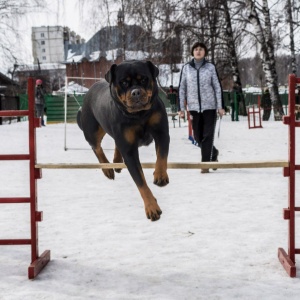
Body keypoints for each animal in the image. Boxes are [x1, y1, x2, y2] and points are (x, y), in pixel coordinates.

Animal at [77, 60, 169, 220]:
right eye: (124, 83)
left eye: (144, 79)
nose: (136, 92)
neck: (139, 115)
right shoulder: (129, 151)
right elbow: (140, 182)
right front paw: (152, 208)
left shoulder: (161, 132)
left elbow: (162, 155)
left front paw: (160, 175)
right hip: (92, 129)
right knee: (96, 147)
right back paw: (107, 169)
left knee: (114, 143)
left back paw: (116, 162)